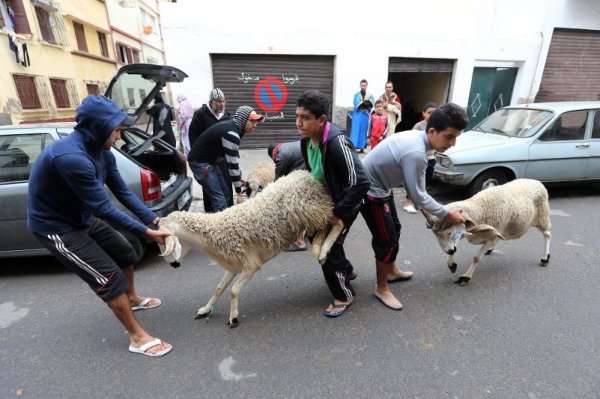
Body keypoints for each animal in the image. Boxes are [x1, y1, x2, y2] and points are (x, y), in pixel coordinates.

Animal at [158, 170, 342, 330]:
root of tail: (305, 174)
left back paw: (323, 250)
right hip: (311, 215)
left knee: (338, 222)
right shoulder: (232, 266)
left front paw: (233, 318)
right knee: (323, 228)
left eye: (165, 240)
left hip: (313, 209)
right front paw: (205, 309)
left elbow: (233, 291)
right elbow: (219, 288)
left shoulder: (251, 265)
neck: (213, 235)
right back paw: (318, 247)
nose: (174, 265)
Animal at [424, 180, 552, 286]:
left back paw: (545, 258)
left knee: (547, 234)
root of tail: (536, 181)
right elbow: (455, 246)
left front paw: (465, 277)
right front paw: (452, 264)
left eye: (449, 232)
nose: (448, 251)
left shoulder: (491, 237)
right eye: (436, 235)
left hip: (542, 217)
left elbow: (476, 258)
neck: (481, 208)